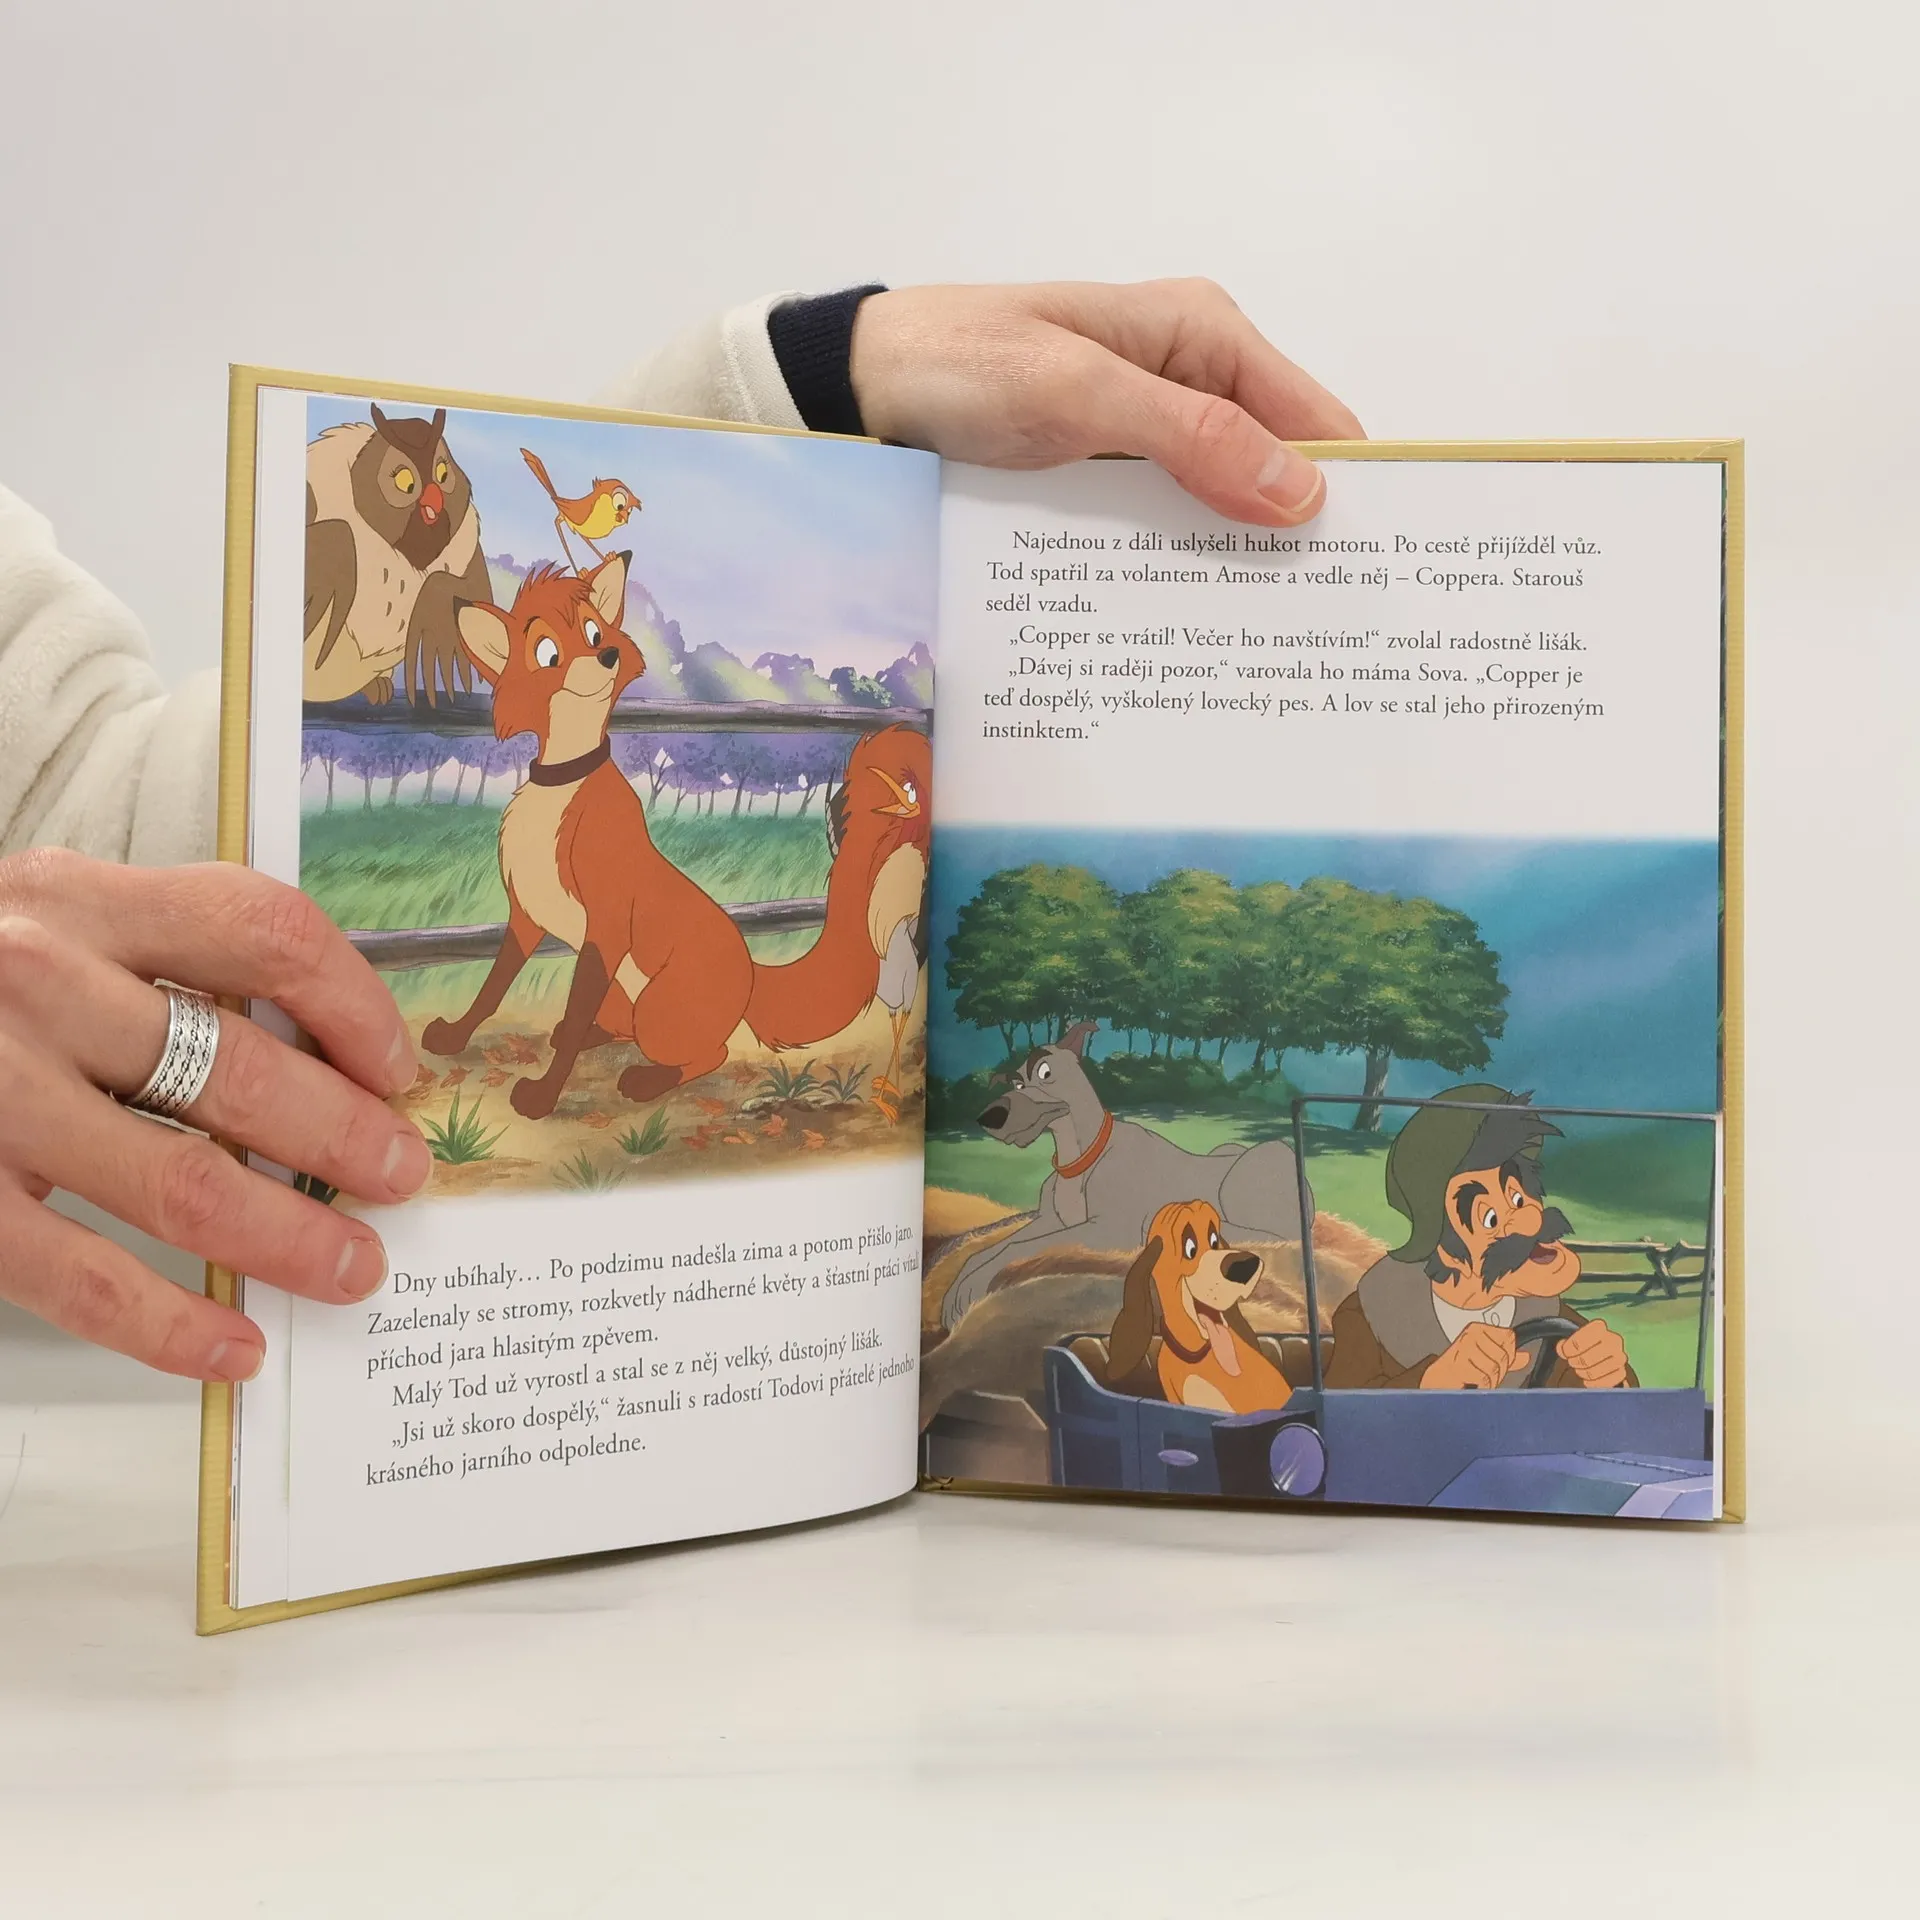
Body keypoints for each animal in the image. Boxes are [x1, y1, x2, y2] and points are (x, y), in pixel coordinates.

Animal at [422, 552, 929, 1119]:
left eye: (595, 631)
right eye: (548, 652)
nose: (608, 654)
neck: (563, 779)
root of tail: (750, 972)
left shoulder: (606, 930)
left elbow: (566, 1018)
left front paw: (542, 1096)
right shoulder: (526, 919)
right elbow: (493, 990)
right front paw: (453, 1037)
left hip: (657, 1011)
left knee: (709, 1052)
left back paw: (644, 1081)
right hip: (622, 997)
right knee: (608, 1027)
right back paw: (598, 1038)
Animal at [937, 1022, 1312, 1330]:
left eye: (1045, 1072)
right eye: (1016, 1082)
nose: (988, 1117)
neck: (1079, 1159)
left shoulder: (1106, 1230)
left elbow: (1020, 1247)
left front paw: (969, 1287)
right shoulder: (1049, 1220)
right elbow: (994, 1247)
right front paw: (956, 1291)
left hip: (1254, 1167)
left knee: (1283, 1234)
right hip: (1227, 1148)